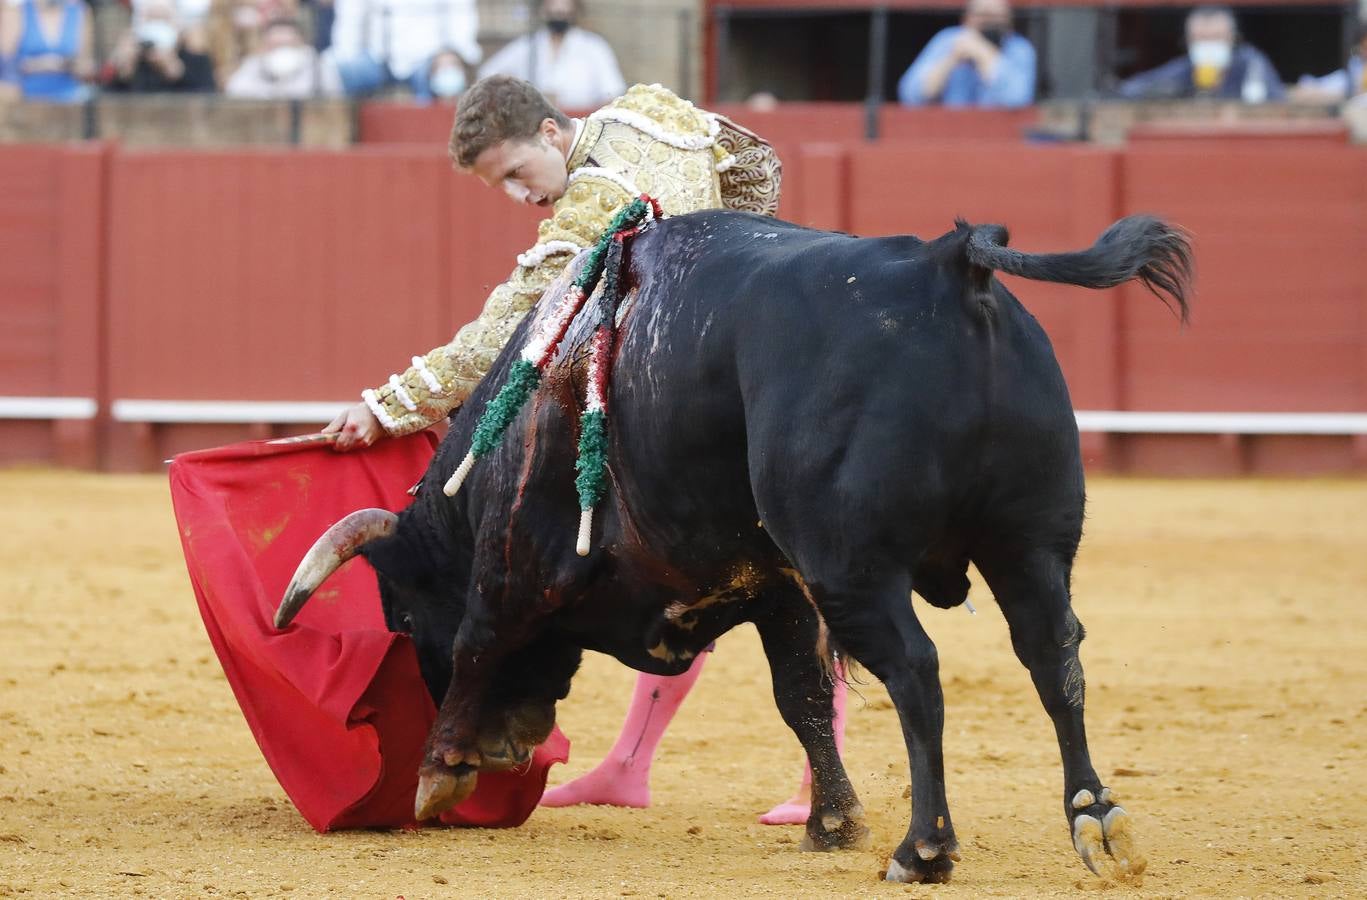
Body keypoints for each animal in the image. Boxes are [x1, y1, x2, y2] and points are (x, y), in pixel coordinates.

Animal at [274, 206, 1186, 880]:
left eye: (400, 617)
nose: (512, 744)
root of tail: (946, 265)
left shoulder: (514, 559)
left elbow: (475, 640)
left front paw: (439, 770)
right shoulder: (774, 587)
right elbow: (802, 697)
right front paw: (831, 822)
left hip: (852, 567)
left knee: (918, 670)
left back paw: (924, 848)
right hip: (1027, 543)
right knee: (1052, 654)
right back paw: (1094, 821)